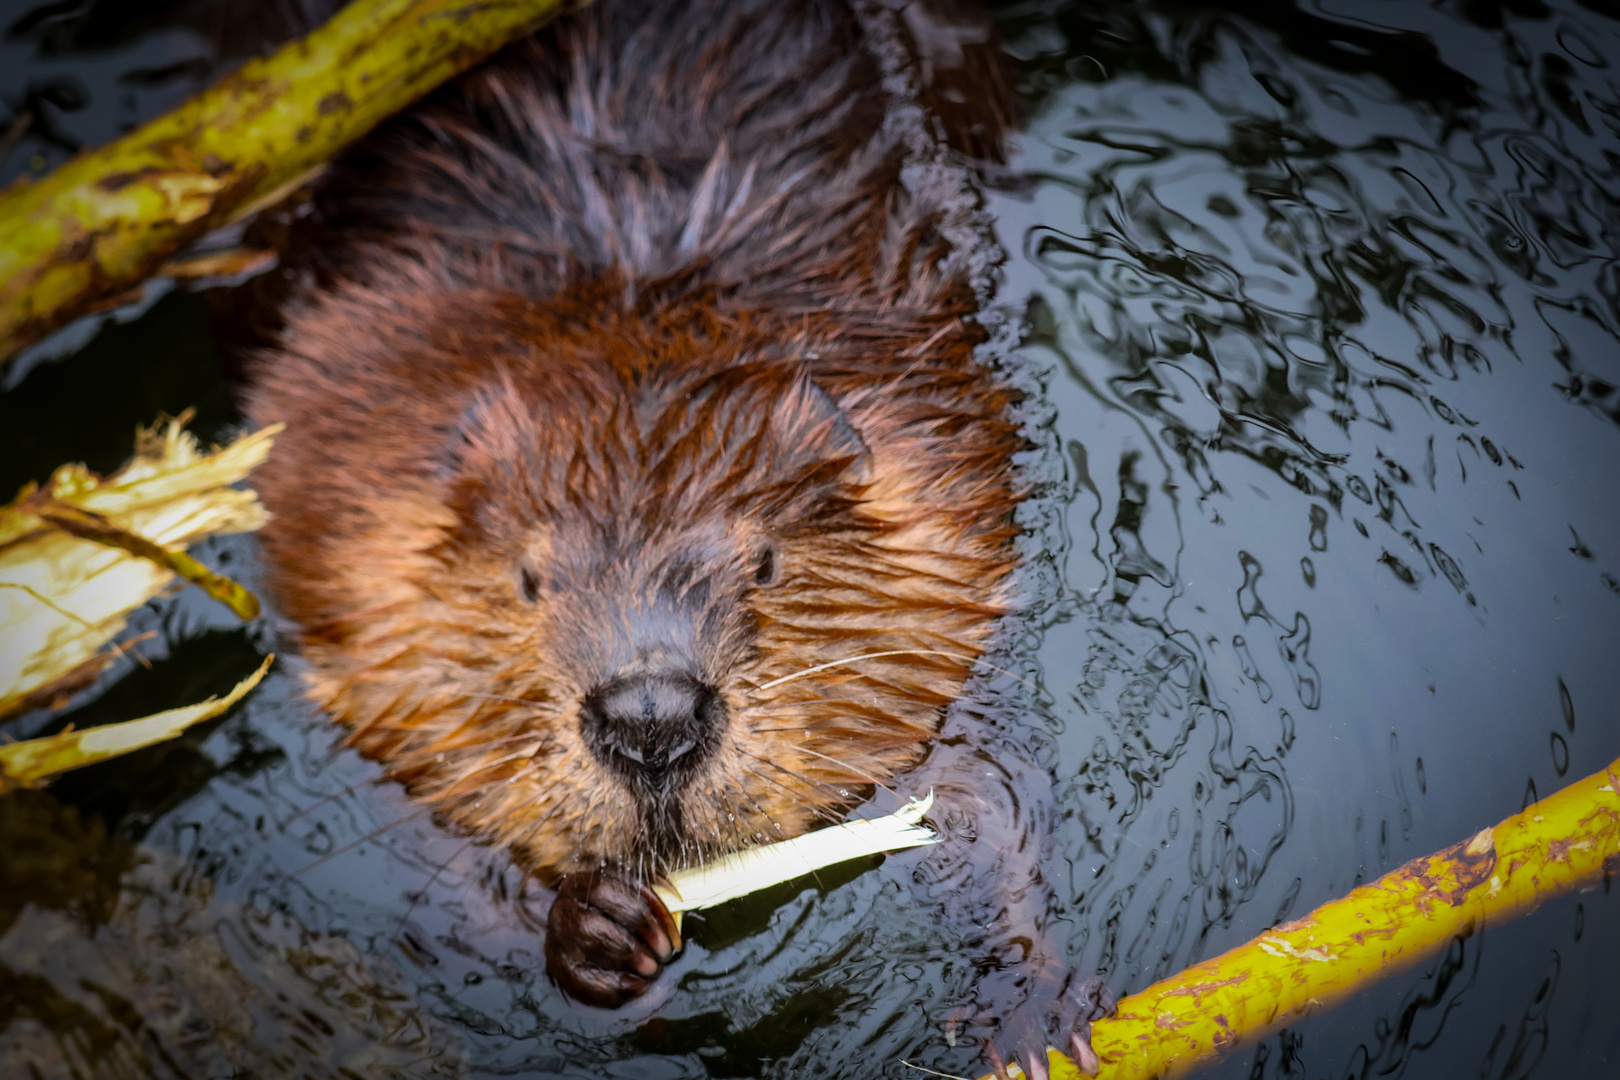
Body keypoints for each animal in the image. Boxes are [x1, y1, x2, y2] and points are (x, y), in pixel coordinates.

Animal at [239, 0, 1108, 1075]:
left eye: (766, 561)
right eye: (527, 579)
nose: (650, 719)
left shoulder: (948, 552)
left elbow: (982, 796)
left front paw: (1034, 1015)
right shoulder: (364, 589)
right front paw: (599, 931)